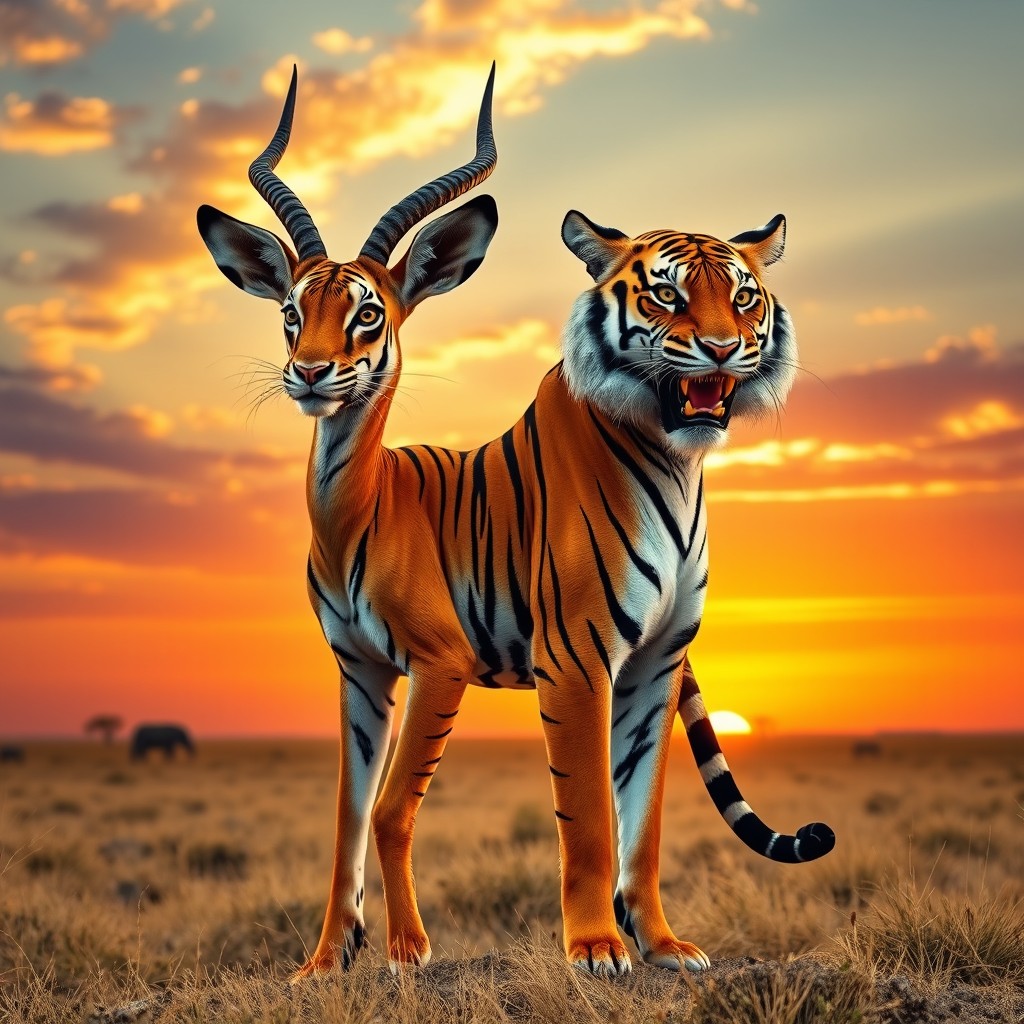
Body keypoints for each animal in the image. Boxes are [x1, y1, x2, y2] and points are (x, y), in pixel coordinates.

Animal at [197, 63, 834, 980]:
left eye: (368, 314)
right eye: (290, 312)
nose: (310, 372)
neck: (350, 504)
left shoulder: (487, 663)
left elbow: (606, 817)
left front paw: (612, 948)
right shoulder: (362, 672)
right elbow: (352, 814)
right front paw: (327, 961)